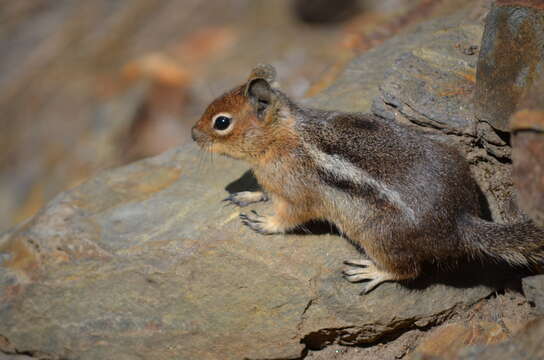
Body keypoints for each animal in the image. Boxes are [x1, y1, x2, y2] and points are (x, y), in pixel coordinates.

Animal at [192, 64, 544, 294]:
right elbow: (265, 193)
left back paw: (373, 272)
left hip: (378, 237)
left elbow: (291, 216)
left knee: (408, 270)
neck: (281, 138)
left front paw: (265, 222)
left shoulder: (297, 194)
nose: (193, 134)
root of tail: (460, 220)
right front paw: (248, 195)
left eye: (221, 122)